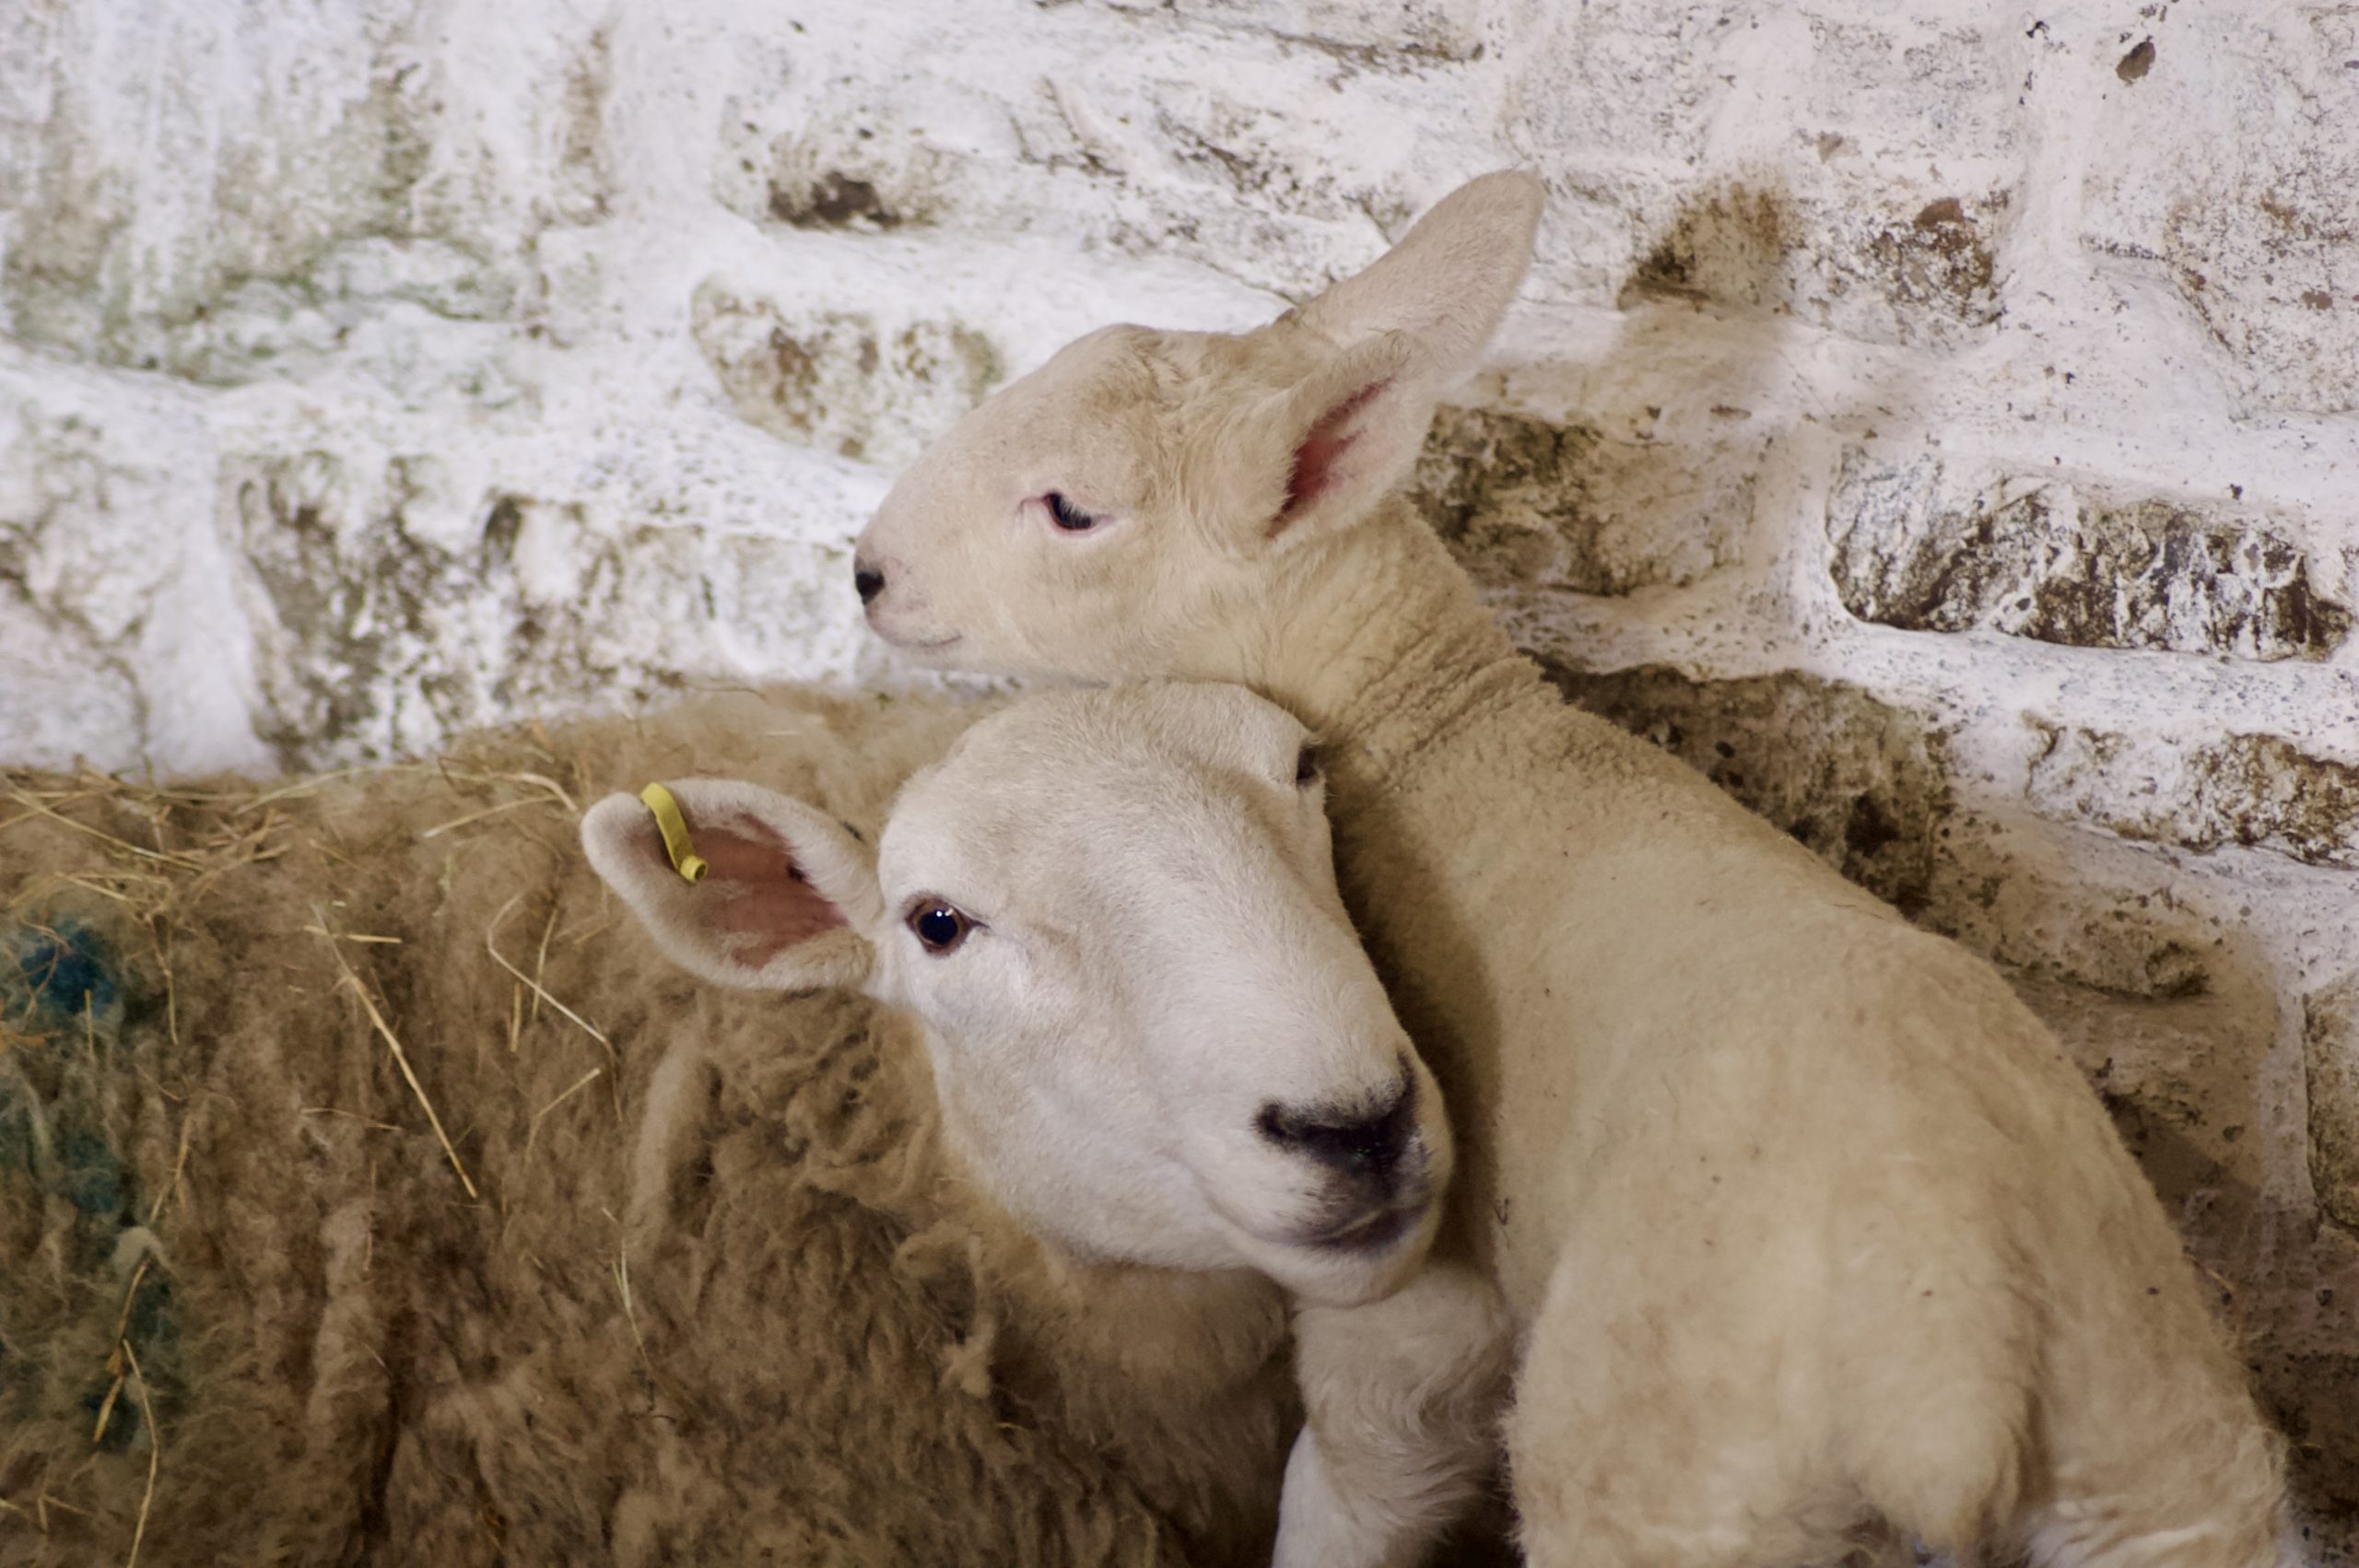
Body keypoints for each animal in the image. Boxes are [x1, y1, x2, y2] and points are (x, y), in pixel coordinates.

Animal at [848, 171, 2292, 1568]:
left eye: (1071, 508)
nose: (863, 571)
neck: (1447, 731)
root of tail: (1958, 1378)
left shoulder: (1413, 1298)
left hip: (1666, 1477)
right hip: (2163, 1456)